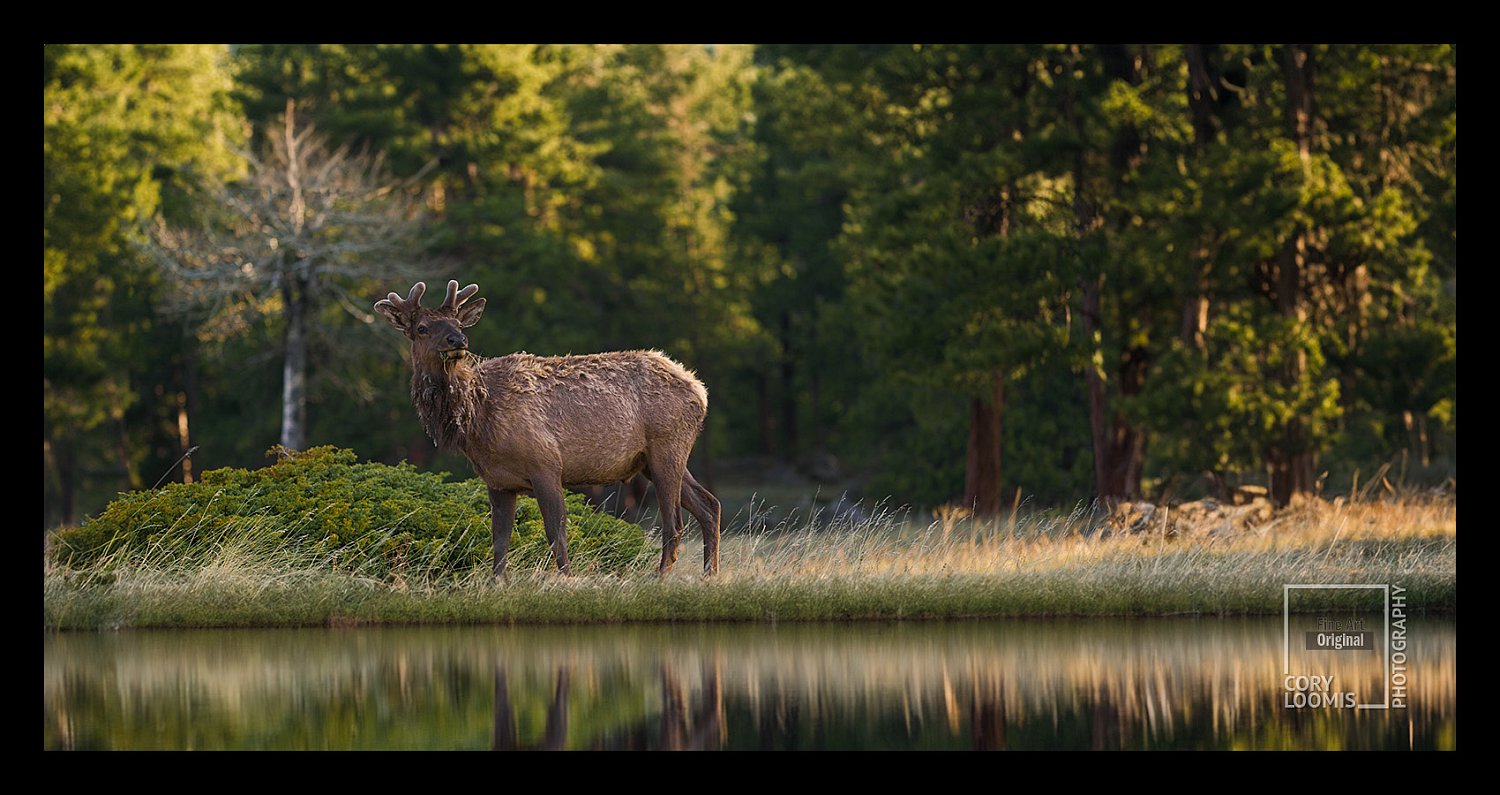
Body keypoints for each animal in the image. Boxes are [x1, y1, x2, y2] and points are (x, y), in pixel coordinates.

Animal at [378, 279, 723, 576]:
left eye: (458, 324)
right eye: (421, 328)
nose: (458, 341)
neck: (477, 421)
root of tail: (700, 390)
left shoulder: (545, 464)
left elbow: (557, 533)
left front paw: (567, 581)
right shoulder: (497, 481)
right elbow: (499, 541)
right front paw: (497, 584)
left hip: (667, 446)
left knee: (674, 523)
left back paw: (659, 578)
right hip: (654, 459)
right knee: (709, 505)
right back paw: (709, 576)